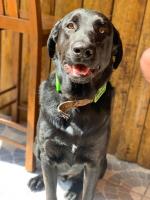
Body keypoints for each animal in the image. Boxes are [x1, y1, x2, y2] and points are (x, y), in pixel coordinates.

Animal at [28, 8, 123, 200]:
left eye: (102, 30)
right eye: (70, 26)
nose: (82, 49)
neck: (75, 102)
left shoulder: (94, 162)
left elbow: (88, 192)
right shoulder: (48, 156)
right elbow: (50, 191)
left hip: (104, 163)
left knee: (79, 179)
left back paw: (73, 191)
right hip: (36, 146)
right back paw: (38, 180)